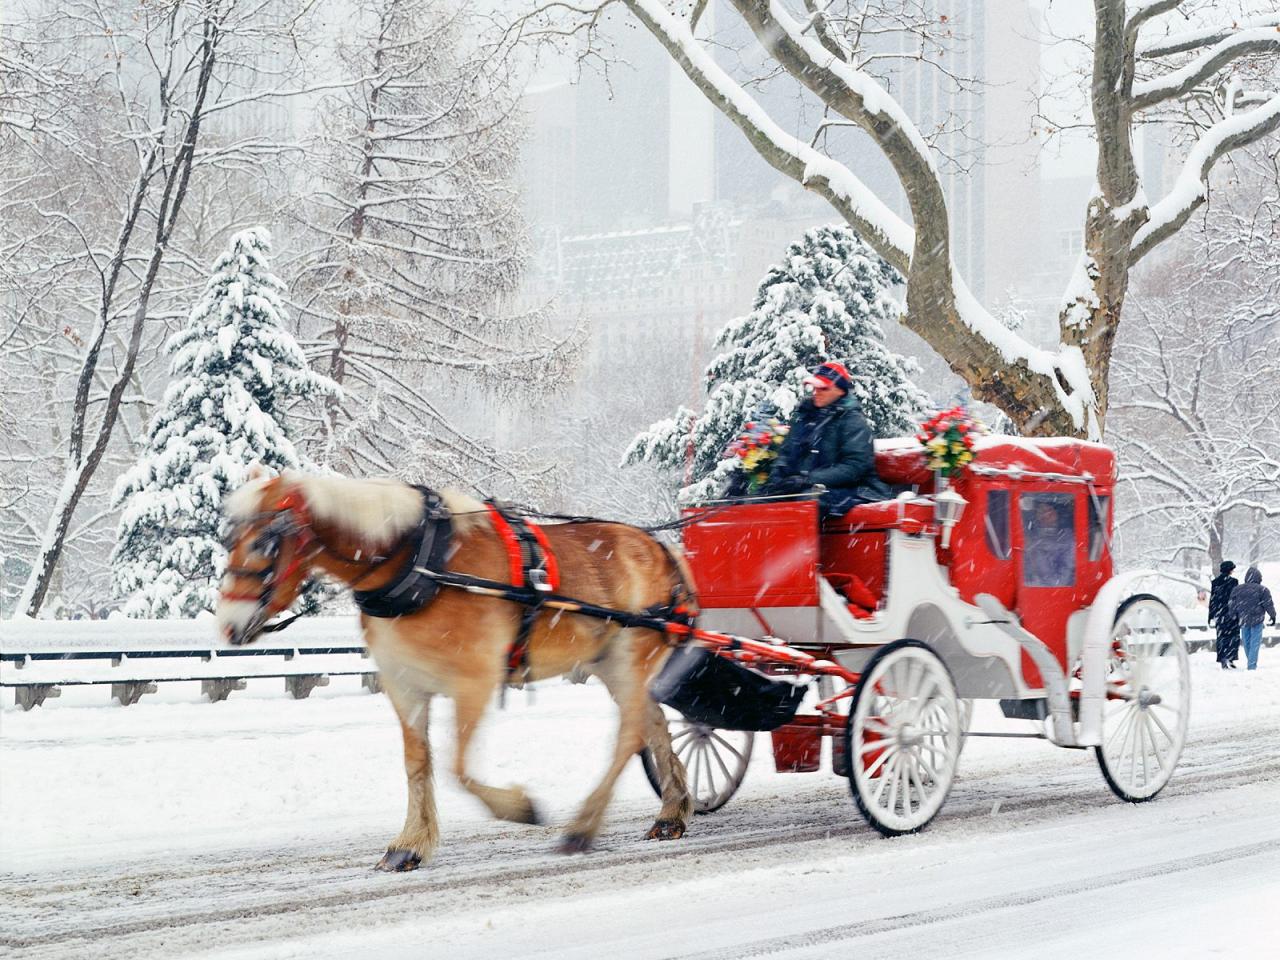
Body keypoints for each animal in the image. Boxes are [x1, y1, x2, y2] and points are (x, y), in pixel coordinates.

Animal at [215, 468, 696, 870]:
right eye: (228, 541)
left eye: (263, 543)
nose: (229, 626)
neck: (418, 562)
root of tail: (661, 549)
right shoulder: (404, 685)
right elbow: (417, 763)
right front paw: (409, 844)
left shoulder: (475, 681)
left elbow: (457, 767)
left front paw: (518, 807)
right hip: (610, 663)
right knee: (652, 725)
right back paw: (671, 812)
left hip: (632, 655)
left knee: (629, 734)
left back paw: (584, 826)